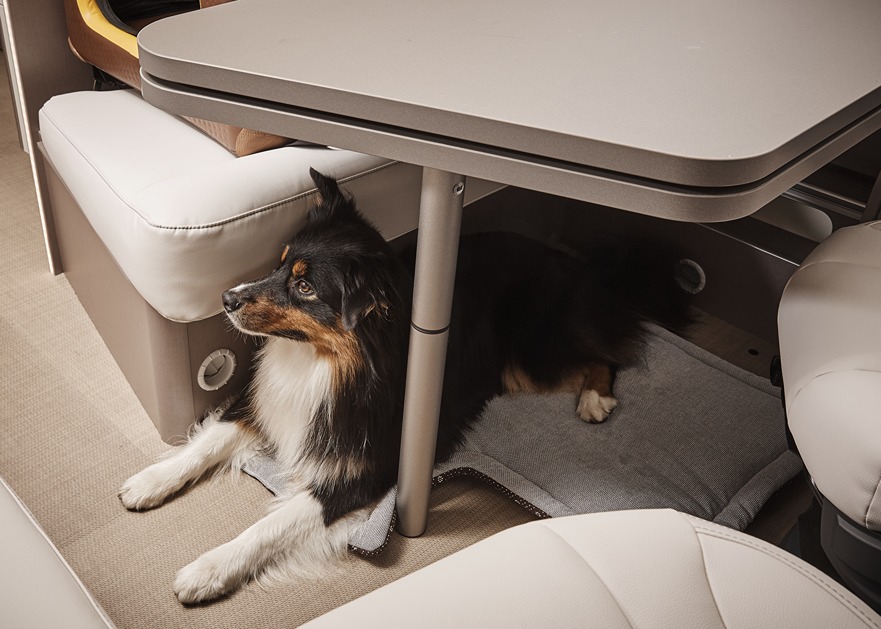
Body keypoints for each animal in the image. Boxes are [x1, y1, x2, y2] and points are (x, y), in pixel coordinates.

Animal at [118, 168, 696, 604]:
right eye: (279, 264)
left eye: (304, 286)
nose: (227, 298)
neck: (325, 362)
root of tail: (577, 266)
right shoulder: (266, 403)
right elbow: (206, 443)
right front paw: (149, 481)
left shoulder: (358, 475)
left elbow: (268, 528)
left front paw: (207, 570)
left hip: (531, 357)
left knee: (608, 350)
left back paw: (597, 399)